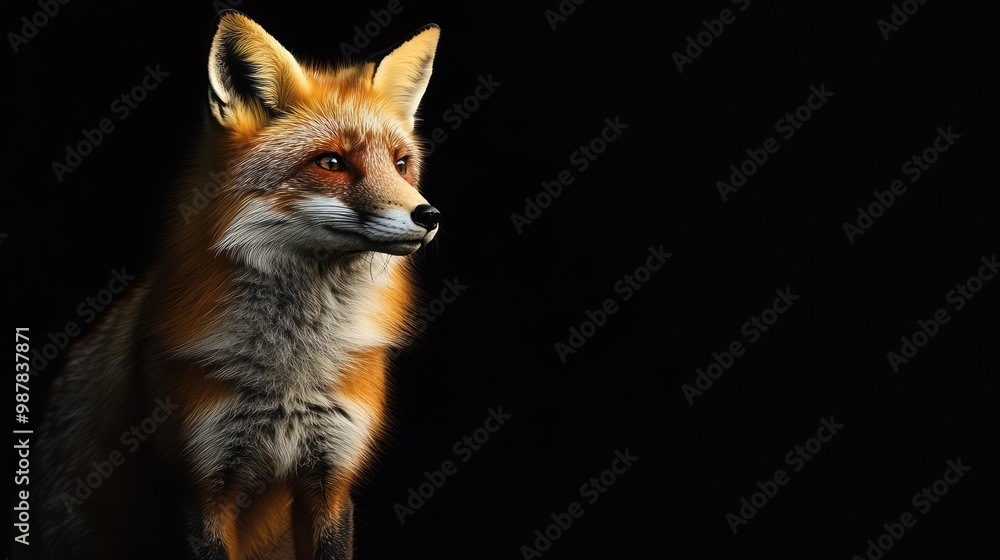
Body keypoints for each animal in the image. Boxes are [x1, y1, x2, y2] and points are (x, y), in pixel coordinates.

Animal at [36, 12, 441, 560]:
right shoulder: (202, 487)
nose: (430, 215)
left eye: (401, 164)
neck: (292, 371)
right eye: (332, 163)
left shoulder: (331, 480)